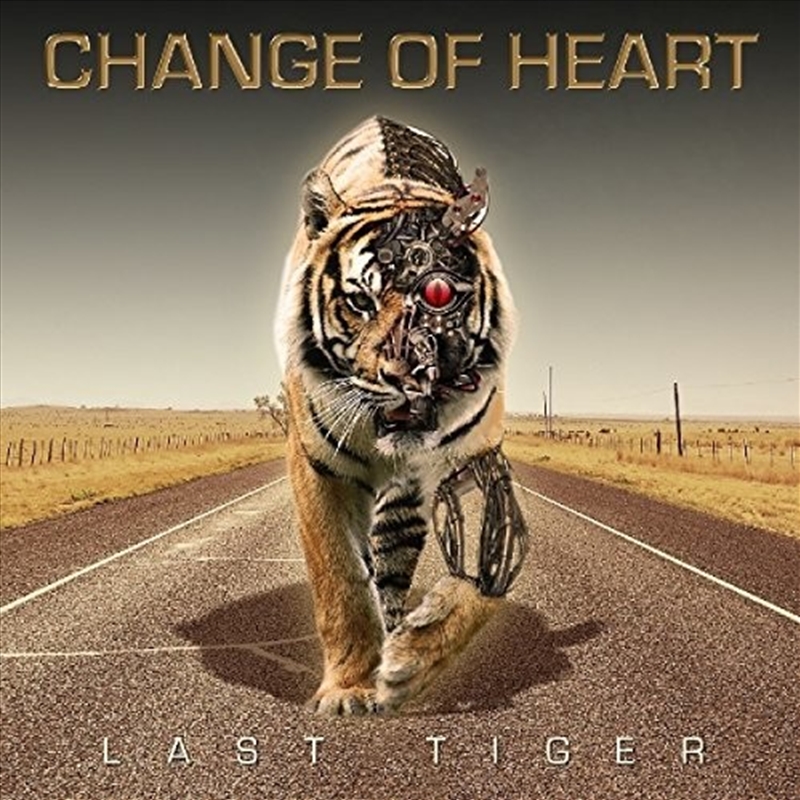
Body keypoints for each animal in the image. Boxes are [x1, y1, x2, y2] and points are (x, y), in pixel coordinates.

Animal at [274, 115, 526, 716]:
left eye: (438, 296)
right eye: (360, 302)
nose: (405, 377)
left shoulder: (477, 462)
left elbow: (485, 576)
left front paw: (411, 659)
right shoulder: (318, 469)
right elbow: (340, 579)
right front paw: (348, 688)